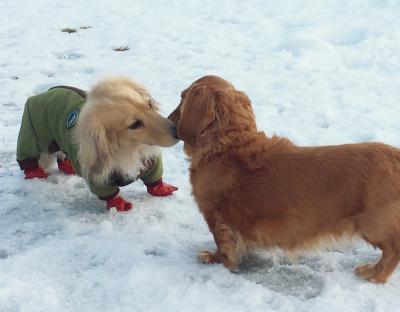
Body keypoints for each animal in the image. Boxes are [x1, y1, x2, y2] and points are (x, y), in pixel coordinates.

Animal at [169, 75, 400, 282]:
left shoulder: (217, 217)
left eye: (182, 97)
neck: (226, 144)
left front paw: (214, 259)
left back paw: (374, 274)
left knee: (393, 249)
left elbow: (222, 243)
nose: (170, 124)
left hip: (374, 223)